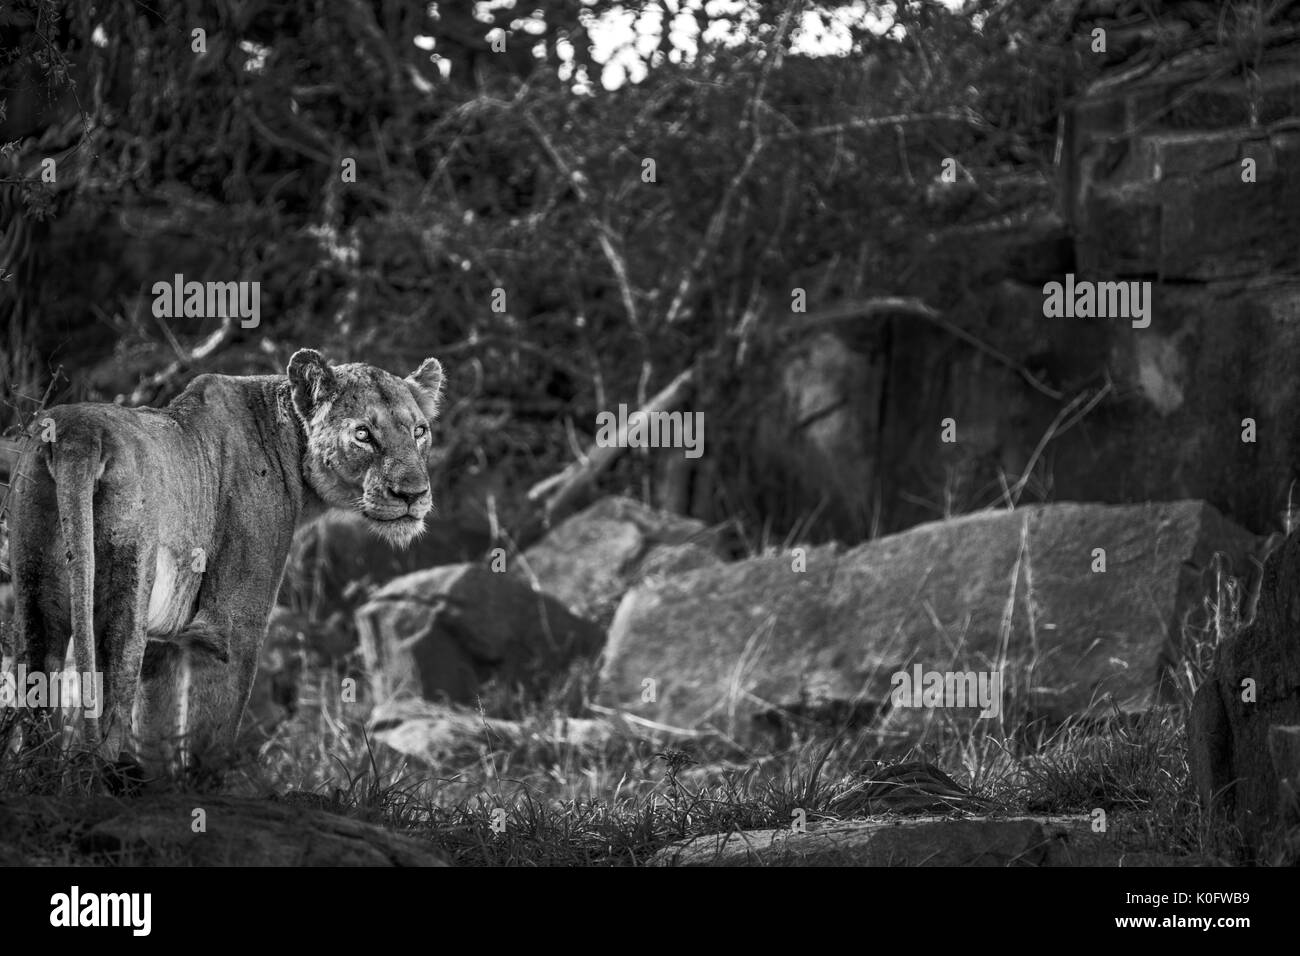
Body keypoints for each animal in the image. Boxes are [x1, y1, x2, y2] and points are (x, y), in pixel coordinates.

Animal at [6, 349, 444, 771]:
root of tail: (78, 435)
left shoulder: (162, 645)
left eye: (419, 431)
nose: (413, 494)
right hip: (123, 598)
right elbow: (211, 740)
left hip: (35, 597)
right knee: (108, 714)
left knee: (38, 715)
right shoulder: (231, 627)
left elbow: (158, 734)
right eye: (363, 434)